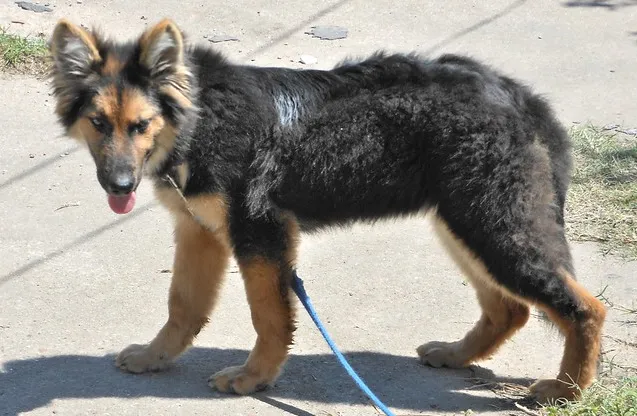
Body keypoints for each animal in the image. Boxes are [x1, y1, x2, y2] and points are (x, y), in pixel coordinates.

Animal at [49, 17, 608, 402]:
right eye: (99, 124)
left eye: (141, 125)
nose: (119, 185)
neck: (200, 118)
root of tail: (519, 96)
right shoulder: (200, 231)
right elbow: (183, 305)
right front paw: (155, 357)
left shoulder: (261, 234)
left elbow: (268, 317)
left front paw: (254, 377)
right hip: (464, 224)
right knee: (509, 308)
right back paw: (456, 355)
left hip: (491, 225)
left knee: (584, 307)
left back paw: (566, 391)